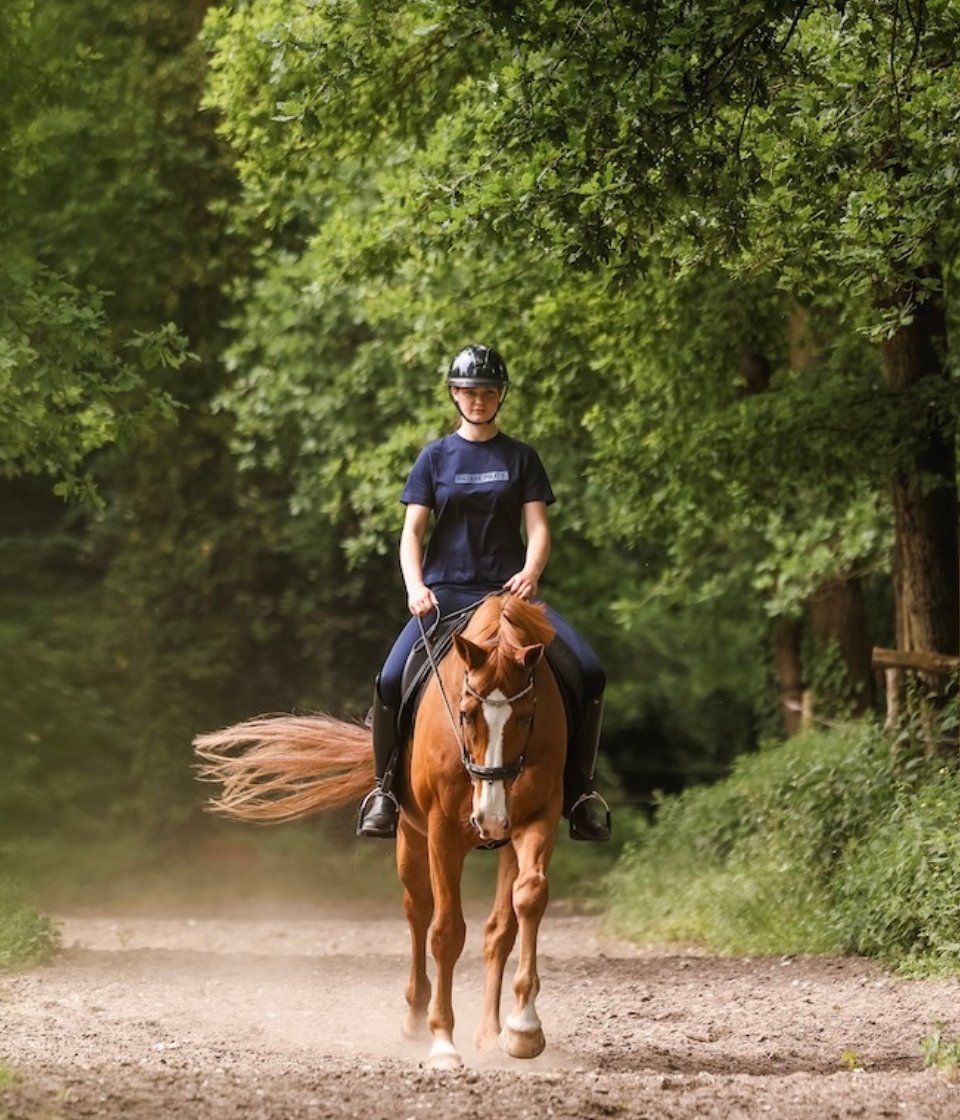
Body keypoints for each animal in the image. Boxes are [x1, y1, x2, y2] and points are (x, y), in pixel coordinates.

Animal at [194, 592, 567, 1070]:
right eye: (466, 714)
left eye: (525, 716)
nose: (489, 816)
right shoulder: (442, 831)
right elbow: (445, 931)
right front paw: (443, 1043)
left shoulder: (538, 818)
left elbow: (530, 898)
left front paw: (523, 1029)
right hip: (412, 838)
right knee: (418, 913)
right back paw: (416, 1019)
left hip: (501, 843)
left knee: (499, 929)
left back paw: (488, 1033)